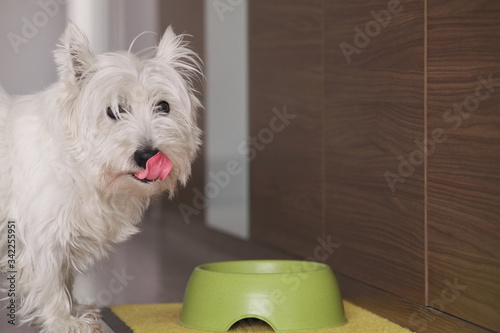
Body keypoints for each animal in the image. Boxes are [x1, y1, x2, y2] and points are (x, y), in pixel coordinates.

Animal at [1, 24, 203, 332]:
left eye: (164, 106)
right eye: (113, 111)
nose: (147, 155)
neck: (79, 166)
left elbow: (65, 277)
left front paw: (76, 309)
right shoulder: (42, 233)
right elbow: (50, 281)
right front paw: (63, 321)